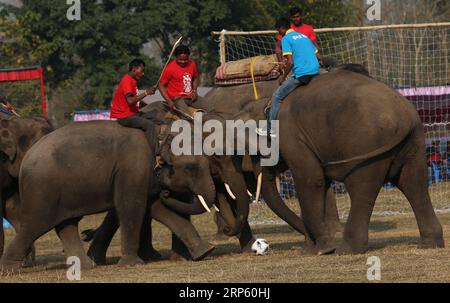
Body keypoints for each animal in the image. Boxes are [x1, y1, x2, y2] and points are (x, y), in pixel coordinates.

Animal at [0, 120, 214, 274]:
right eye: (191, 168)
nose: (166, 192)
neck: (157, 135)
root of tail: (26, 160)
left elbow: (157, 209)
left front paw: (206, 251)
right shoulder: (132, 170)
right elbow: (132, 208)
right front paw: (132, 265)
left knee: (66, 224)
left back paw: (86, 266)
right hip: (42, 189)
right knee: (34, 225)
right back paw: (10, 270)